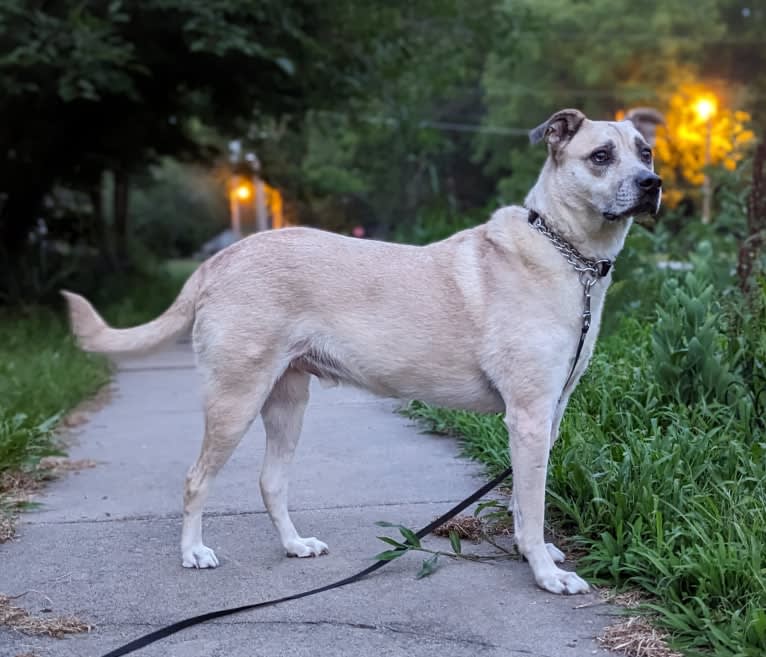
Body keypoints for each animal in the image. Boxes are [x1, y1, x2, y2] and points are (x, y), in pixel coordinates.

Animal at [61, 109, 660, 596]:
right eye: (601, 156)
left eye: (645, 151)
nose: (653, 184)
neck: (566, 252)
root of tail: (221, 258)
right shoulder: (529, 416)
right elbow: (532, 506)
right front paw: (545, 573)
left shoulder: (548, 415)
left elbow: (521, 498)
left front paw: (530, 554)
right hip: (234, 400)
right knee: (195, 479)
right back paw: (192, 553)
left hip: (287, 402)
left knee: (270, 481)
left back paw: (294, 545)